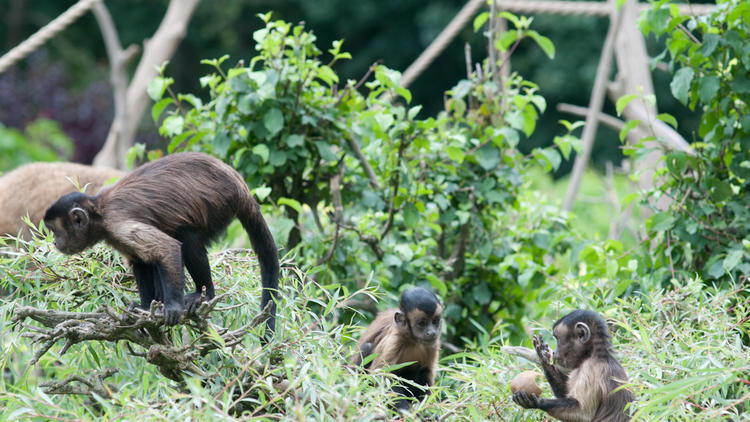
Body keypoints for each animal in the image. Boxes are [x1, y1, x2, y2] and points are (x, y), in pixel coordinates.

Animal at [41, 152, 282, 336]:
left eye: (56, 231)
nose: (55, 241)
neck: (100, 213)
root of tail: (239, 184)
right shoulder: (115, 234)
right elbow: (139, 260)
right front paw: (145, 307)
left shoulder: (117, 225)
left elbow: (167, 248)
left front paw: (173, 306)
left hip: (219, 203)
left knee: (186, 237)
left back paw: (204, 293)